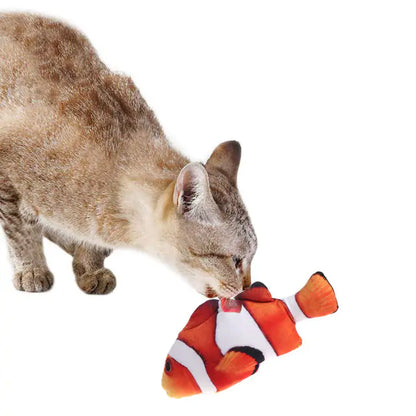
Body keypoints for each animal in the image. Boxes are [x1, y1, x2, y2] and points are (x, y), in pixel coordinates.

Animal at [0, 12, 256, 300]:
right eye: (235, 260)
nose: (247, 287)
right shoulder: (7, 168)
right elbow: (21, 232)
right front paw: (31, 268)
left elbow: (89, 242)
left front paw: (89, 266)